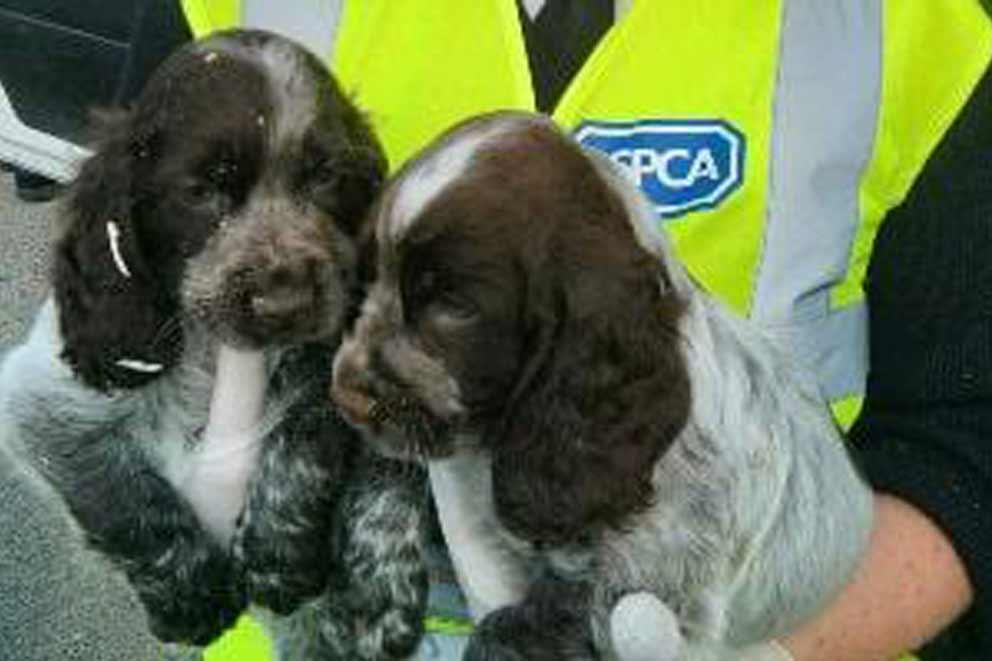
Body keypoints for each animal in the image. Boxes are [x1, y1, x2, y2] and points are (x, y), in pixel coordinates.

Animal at [3, 28, 430, 656]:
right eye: (203, 190)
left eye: (325, 177)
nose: (286, 303)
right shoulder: (41, 399)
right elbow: (119, 496)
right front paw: (192, 598)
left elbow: (310, 434)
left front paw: (279, 554)